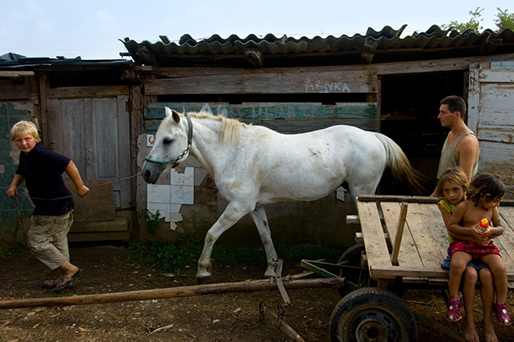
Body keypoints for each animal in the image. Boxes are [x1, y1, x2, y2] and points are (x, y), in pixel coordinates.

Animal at [141, 108, 420, 282]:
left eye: (167, 140)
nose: (146, 172)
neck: (234, 151)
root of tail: (373, 136)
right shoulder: (254, 207)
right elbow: (266, 236)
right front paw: (271, 269)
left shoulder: (238, 207)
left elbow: (211, 234)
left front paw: (202, 271)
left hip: (363, 193)